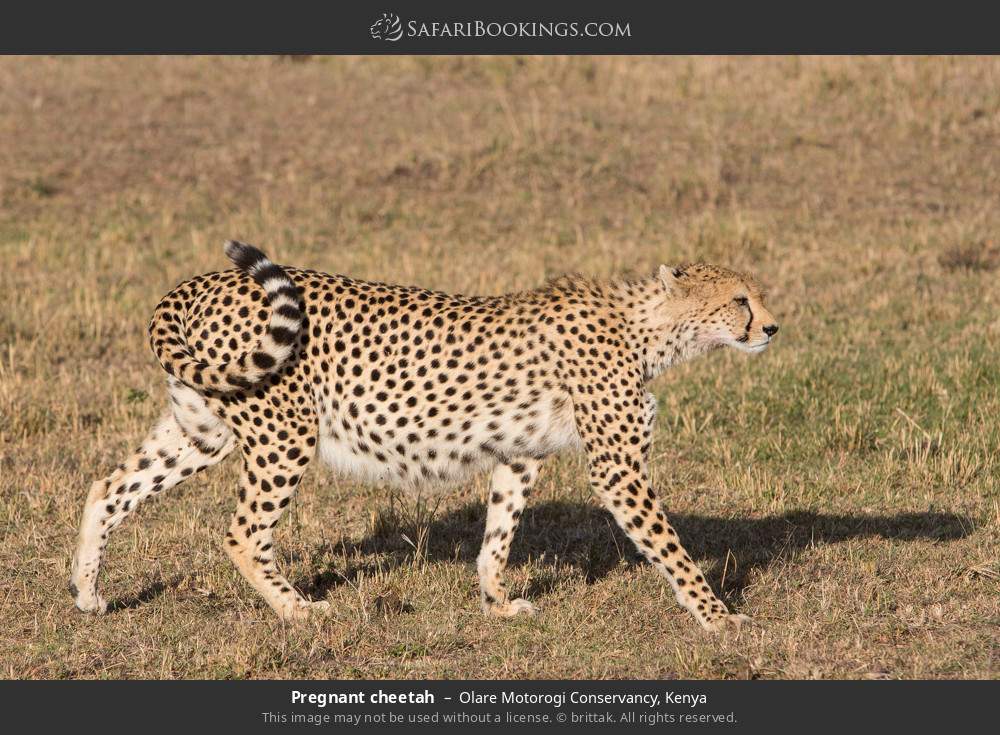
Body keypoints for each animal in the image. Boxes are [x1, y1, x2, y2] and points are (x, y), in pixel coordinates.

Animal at [70, 242, 776, 632]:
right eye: (740, 300)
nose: (772, 328)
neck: (647, 329)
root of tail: (203, 280)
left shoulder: (520, 454)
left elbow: (498, 534)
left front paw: (497, 604)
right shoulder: (619, 470)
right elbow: (671, 548)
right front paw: (719, 618)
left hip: (204, 430)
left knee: (108, 487)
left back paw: (87, 592)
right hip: (283, 433)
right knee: (243, 533)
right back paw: (299, 612)